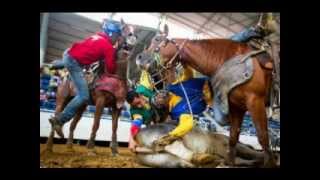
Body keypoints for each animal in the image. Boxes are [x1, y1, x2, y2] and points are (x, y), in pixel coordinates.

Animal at [136, 24, 276, 167]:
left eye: (157, 39)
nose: (139, 57)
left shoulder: (254, 101)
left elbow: (261, 137)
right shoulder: (239, 107)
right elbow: (239, 138)